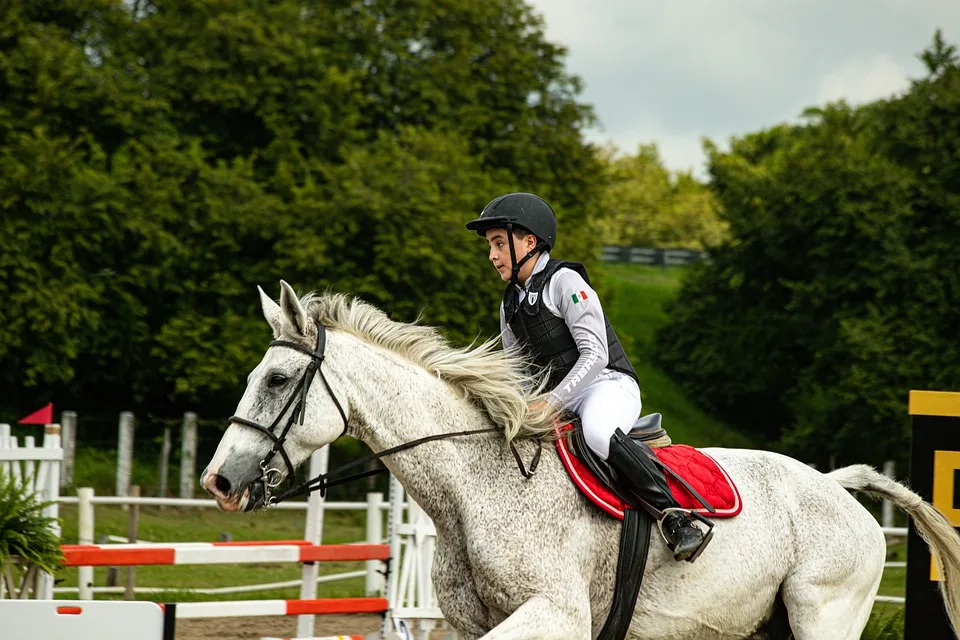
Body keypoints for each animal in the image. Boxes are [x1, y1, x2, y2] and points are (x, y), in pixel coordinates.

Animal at [201, 282, 960, 636]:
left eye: (276, 380)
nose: (220, 481)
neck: (476, 485)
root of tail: (836, 488)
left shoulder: (556, 616)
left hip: (821, 613)